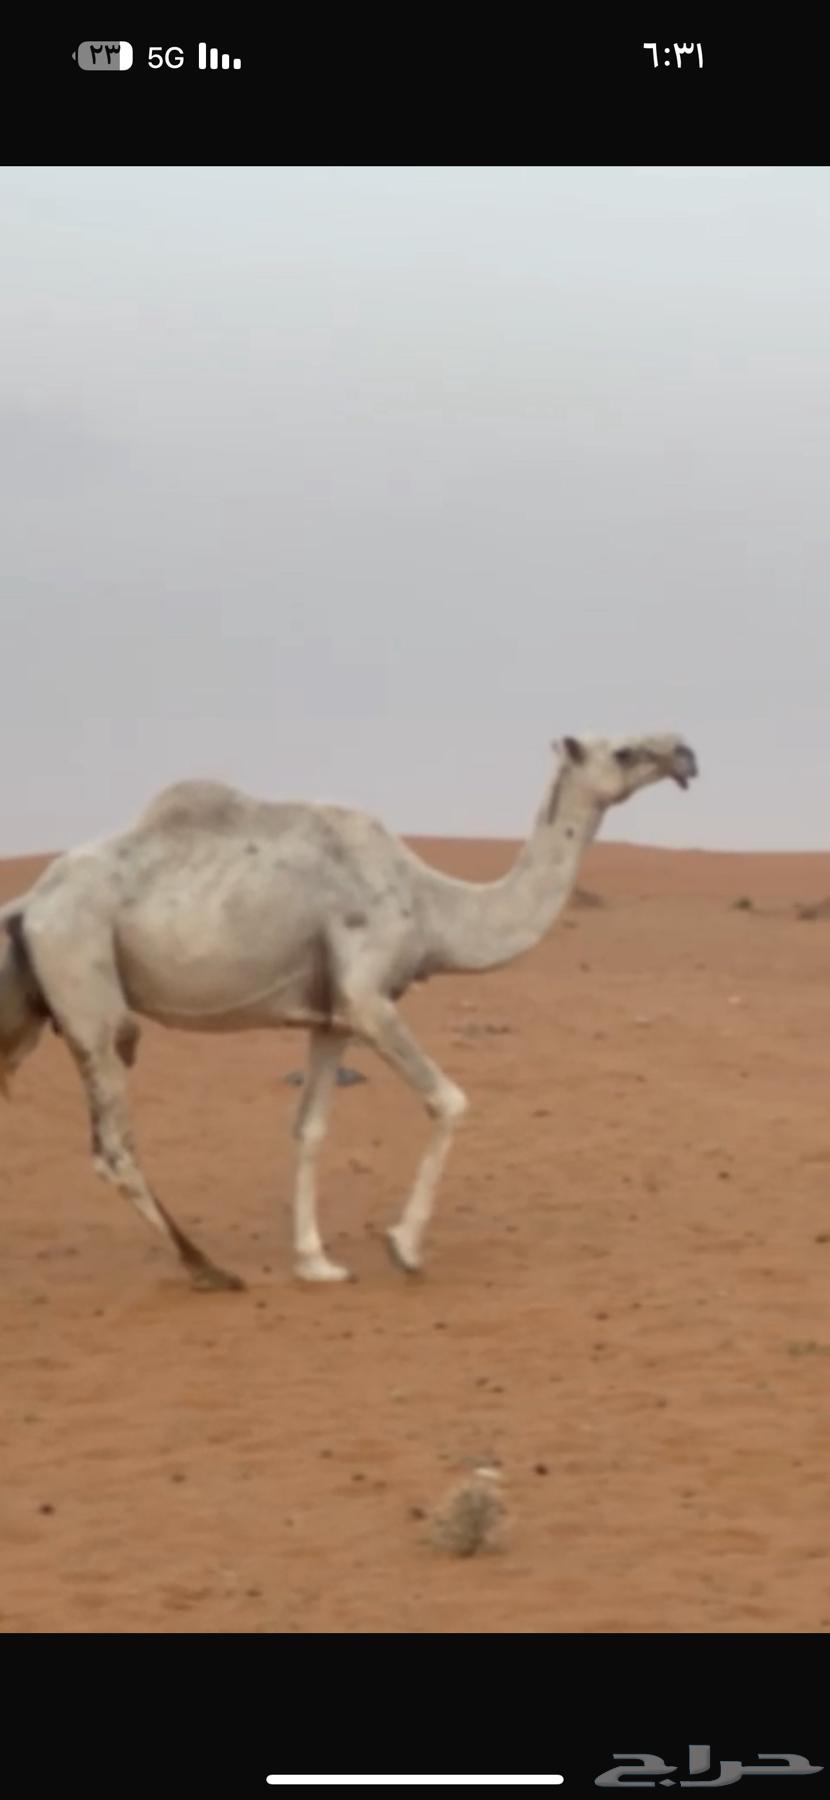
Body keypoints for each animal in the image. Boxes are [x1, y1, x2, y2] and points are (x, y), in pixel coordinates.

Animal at [0, 731, 697, 1291]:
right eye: (624, 751)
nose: (685, 752)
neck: (435, 905)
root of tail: (28, 905)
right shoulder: (368, 996)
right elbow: (450, 1100)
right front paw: (404, 1247)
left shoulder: (333, 1019)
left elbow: (310, 1128)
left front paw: (316, 1262)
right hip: (87, 987)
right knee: (114, 1146)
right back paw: (208, 1268)